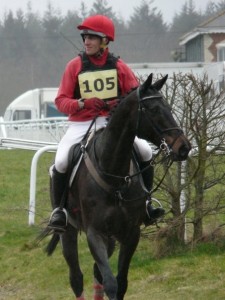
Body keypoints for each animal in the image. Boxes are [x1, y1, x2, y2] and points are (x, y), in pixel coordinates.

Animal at [40, 73, 190, 300]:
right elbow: (111, 283)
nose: (184, 147)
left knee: (96, 272)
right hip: (69, 231)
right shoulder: (95, 233)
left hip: (111, 237)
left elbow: (120, 282)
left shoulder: (130, 233)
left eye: (168, 108)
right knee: (76, 277)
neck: (114, 175)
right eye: (153, 110)